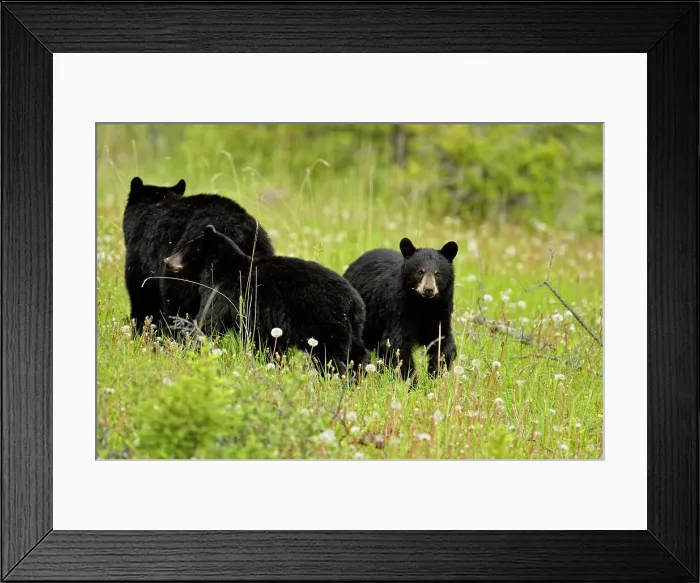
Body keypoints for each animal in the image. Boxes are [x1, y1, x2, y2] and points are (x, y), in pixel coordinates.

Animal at [162, 225, 370, 377]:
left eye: (185, 247)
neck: (219, 267)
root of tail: (353, 301)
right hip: (352, 328)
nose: (167, 260)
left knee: (332, 355)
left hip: (323, 321)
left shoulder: (224, 292)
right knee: (358, 352)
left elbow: (209, 322)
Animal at [343, 237, 458, 381]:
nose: (429, 289)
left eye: (438, 273)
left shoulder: (440, 313)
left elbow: (443, 342)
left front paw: (436, 372)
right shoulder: (399, 311)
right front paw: (409, 380)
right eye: (420, 272)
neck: (424, 305)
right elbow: (397, 345)